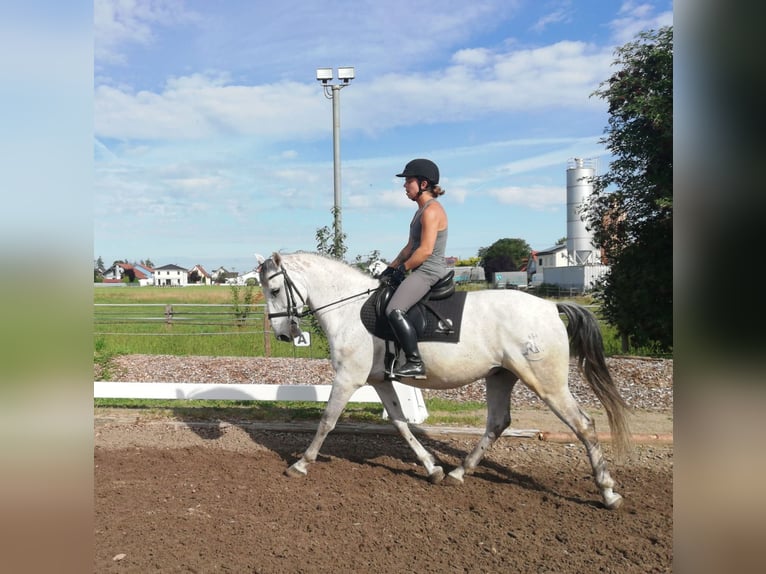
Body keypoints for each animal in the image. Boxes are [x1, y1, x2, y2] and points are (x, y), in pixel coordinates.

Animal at [260, 254, 632, 510]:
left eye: (275, 289)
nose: (282, 335)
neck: (348, 309)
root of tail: (552, 307)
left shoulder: (349, 378)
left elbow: (327, 421)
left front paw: (300, 464)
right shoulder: (380, 380)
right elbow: (401, 424)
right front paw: (431, 467)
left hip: (547, 383)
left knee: (583, 424)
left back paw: (608, 492)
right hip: (501, 376)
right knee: (498, 423)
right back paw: (458, 473)